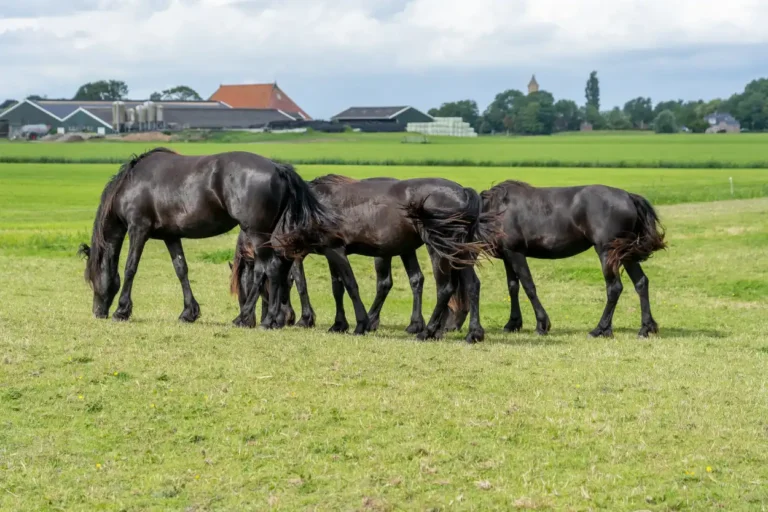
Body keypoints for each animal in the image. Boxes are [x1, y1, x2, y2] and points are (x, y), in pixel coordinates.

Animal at [77, 147, 336, 328]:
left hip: (257, 233)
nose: (97, 312)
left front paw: (122, 310)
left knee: (270, 269)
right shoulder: (171, 236)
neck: (131, 183)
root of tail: (278, 168)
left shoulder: (138, 229)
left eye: (91, 280)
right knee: (274, 271)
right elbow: (181, 269)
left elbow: (131, 268)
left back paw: (264, 319)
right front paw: (188, 313)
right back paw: (253, 318)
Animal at [230, 175, 499, 343]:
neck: (308, 208)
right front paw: (339, 324)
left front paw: (360, 324)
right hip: (459, 252)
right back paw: (473, 333)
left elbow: (350, 286)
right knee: (472, 285)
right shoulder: (328, 253)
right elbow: (336, 287)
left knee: (445, 288)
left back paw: (428, 331)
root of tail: (463, 192)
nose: (248, 320)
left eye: (249, 286)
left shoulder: (335, 250)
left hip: (440, 250)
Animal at [466, 180, 666, 338]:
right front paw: (512, 323)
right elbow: (513, 287)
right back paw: (645, 328)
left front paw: (542, 325)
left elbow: (529, 287)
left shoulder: (516, 253)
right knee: (641, 282)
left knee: (614, 287)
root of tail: (628, 197)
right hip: (625, 253)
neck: (496, 210)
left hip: (606, 252)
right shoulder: (507, 256)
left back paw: (600, 329)